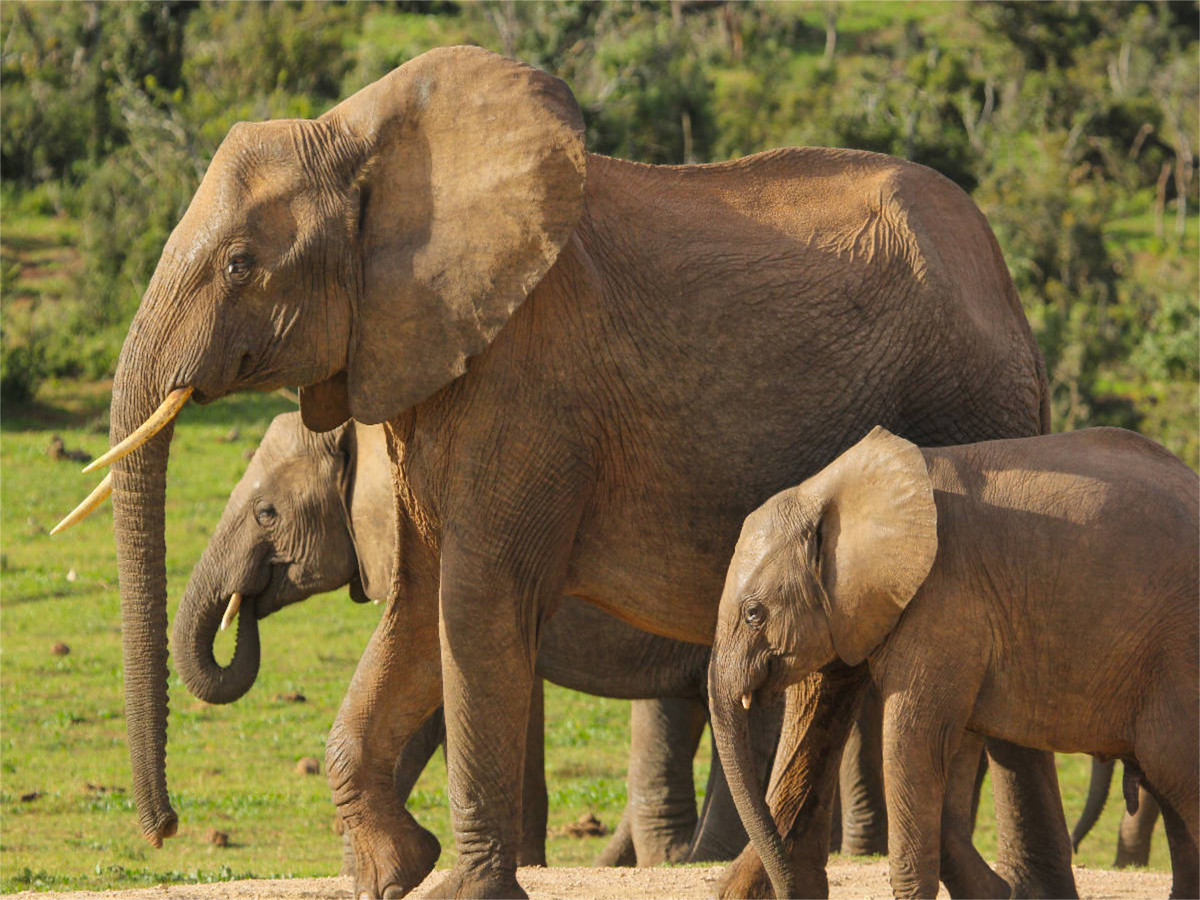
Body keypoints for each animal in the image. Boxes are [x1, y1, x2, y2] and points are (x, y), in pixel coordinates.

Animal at [70, 47, 1075, 900]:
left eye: (241, 264)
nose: (164, 829)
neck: (370, 144)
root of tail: (1007, 288)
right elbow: (422, 608)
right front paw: (396, 875)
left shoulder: (529, 383)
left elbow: (472, 604)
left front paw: (460, 886)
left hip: (970, 405)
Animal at [710, 427, 1200, 900]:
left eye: (754, 614)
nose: (786, 889)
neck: (831, 487)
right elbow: (934, 747)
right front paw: (992, 892)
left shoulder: (944, 597)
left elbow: (914, 740)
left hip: (1177, 652)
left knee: (1174, 772)